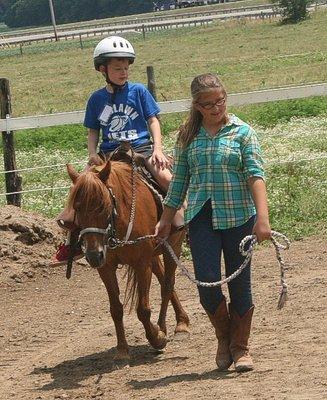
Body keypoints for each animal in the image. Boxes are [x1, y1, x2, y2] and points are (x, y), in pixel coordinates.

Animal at [66, 159, 190, 362]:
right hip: (154, 255)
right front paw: (122, 350)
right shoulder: (106, 267)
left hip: (173, 245)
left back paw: (174, 327)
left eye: (103, 206)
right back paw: (179, 322)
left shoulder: (141, 264)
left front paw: (157, 338)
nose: (93, 255)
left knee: (167, 285)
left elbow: (143, 309)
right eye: (76, 208)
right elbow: (116, 309)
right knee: (164, 279)